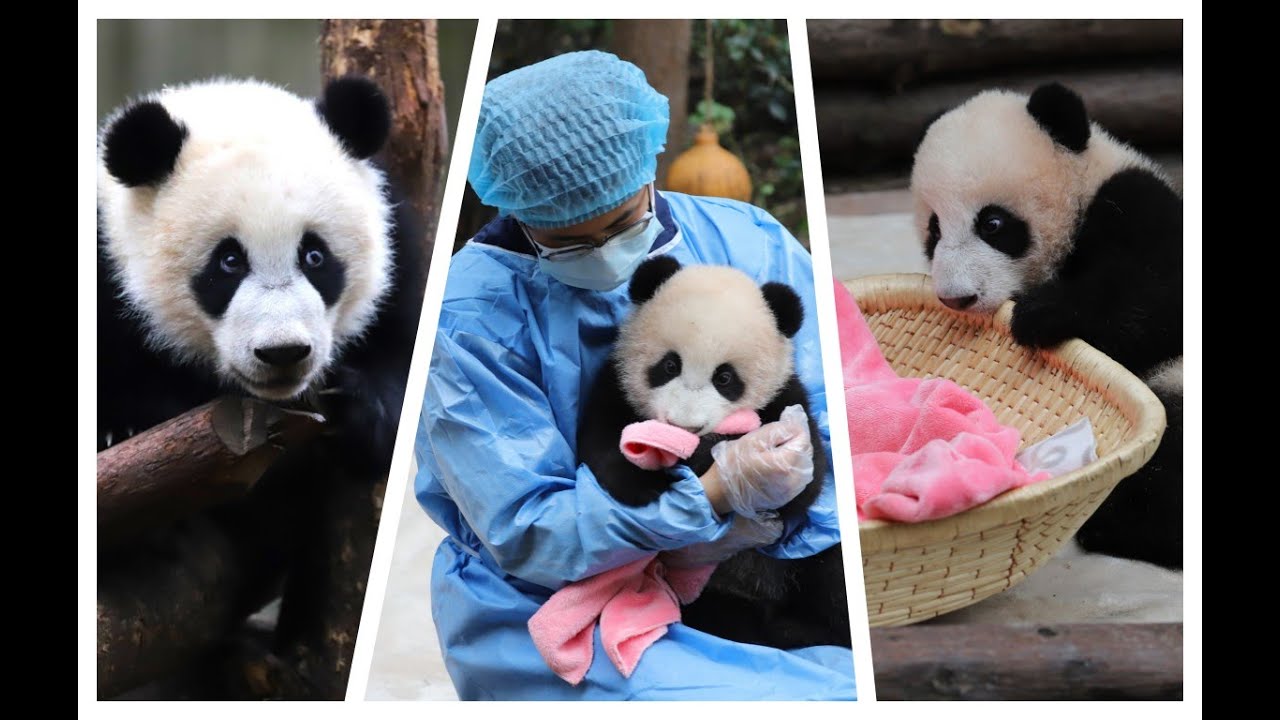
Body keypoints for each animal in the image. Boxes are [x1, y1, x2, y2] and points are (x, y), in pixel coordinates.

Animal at [578, 255, 850, 649]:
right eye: (670, 365)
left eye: (725, 378)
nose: (685, 426)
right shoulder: (616, 383)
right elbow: (597, 441)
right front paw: (642, 484)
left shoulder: (786, 399)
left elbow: (805, 483)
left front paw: (711, 455)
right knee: (719, 613)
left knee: (831, 572)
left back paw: (804, 631)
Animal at [911, 82, 1183, 569]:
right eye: (934, 229)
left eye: (993, 223)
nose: (956, 298)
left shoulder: (1136, 203)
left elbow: (1160, 295)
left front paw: (1040, 315)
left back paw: (1118, 524)